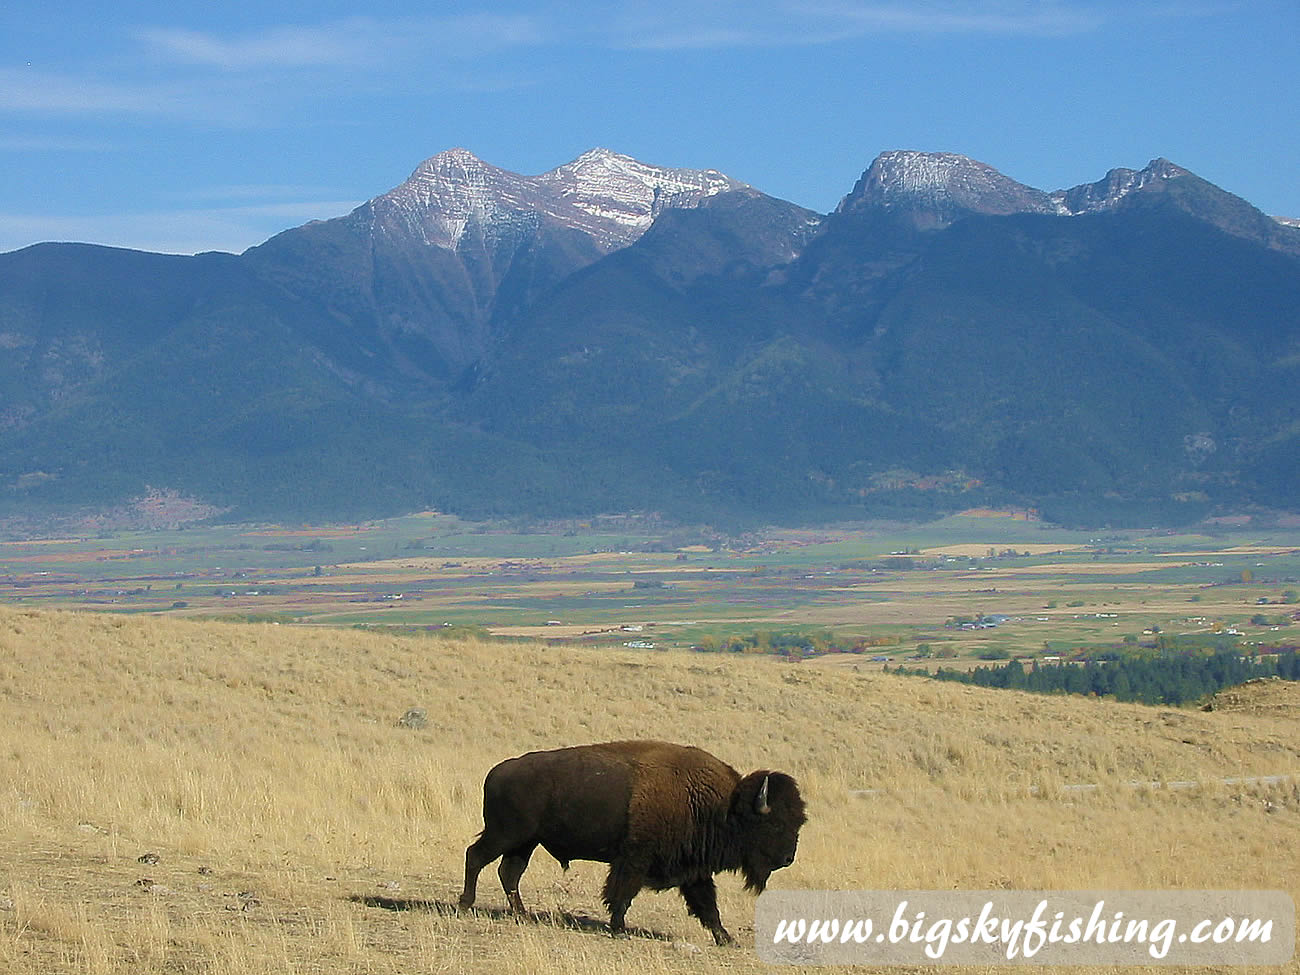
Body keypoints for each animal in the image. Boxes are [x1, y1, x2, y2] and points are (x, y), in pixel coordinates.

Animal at [457, 738, 800, 946]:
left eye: (798, 822)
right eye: (775, 823)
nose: (788, 858)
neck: (722, 806)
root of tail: (497, 771)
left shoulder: (694, 871)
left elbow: (707, 905)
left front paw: (726, 938)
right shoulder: (634, 858)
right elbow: (622, 893)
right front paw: (619, 929)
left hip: (525, 842)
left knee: (509, 873)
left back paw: (522, 914)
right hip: (505, 835)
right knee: (475, 857)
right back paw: (465, 905)